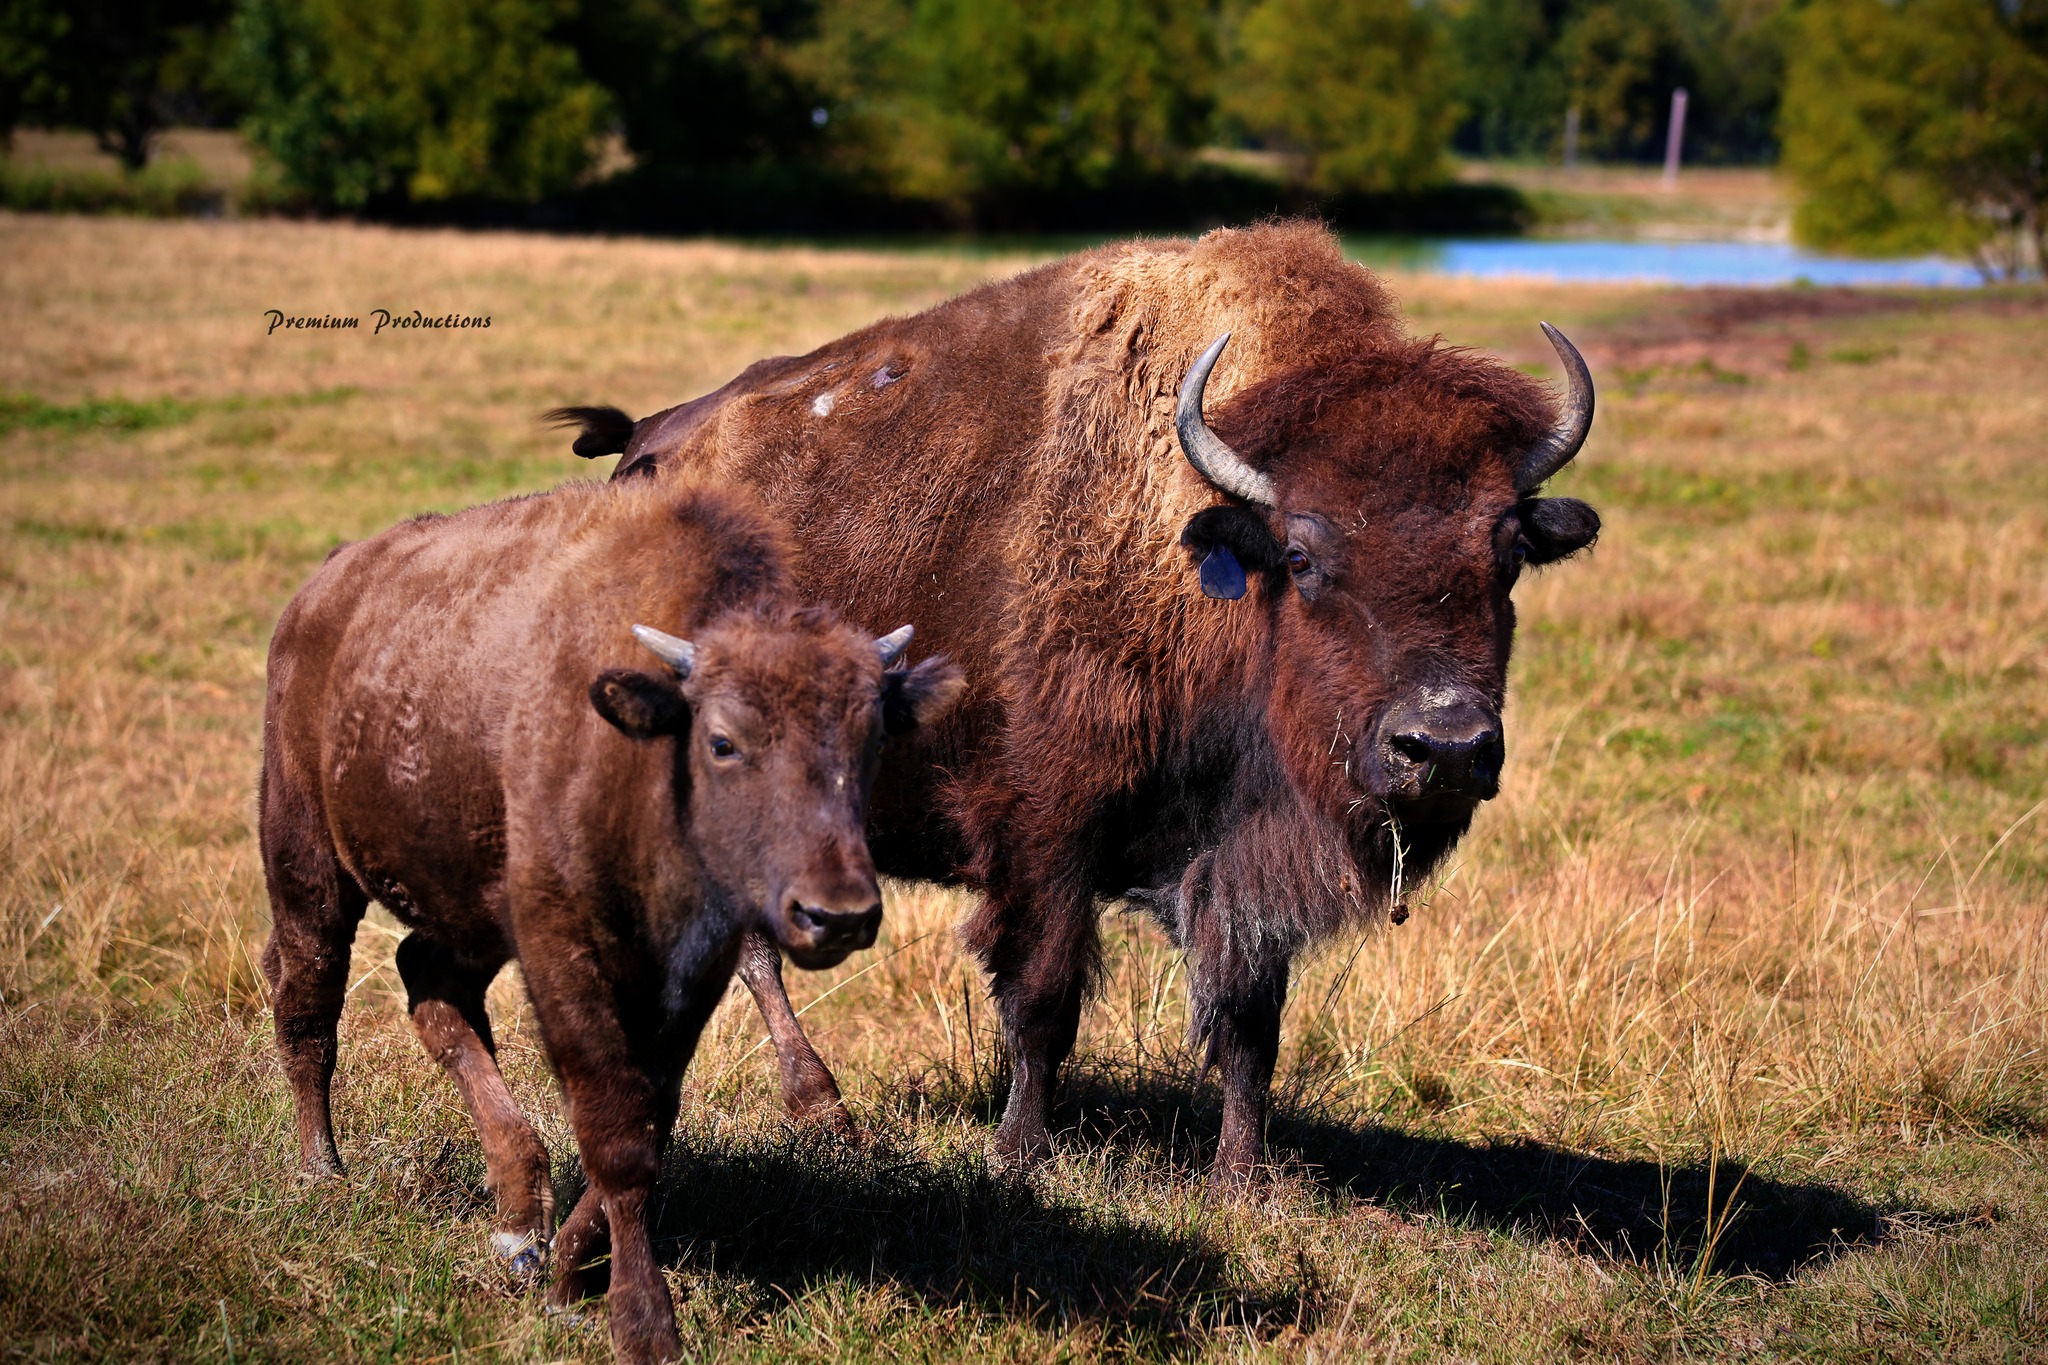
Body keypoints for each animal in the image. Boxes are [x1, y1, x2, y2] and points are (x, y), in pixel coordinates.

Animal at [259, 477, 961, 1363]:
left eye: (871, 740)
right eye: (723, 741)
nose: (836, 914)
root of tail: (320, 589)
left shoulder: (687, 975)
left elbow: (651, 1117)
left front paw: (562, 1268)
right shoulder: (564, 951)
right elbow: (617, 1128)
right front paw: (641, 1320)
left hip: (466, 910)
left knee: (431, 985)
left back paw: (518, 1213)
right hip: (307, 862)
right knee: (309, 1007)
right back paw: (325, 1172)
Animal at [555, 221, 1601, 1182]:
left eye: (1508, 550)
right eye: (1302, 554)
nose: (1447, 745)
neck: (1209, 553)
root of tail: (646, 450)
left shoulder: (1240, 857)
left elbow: (1250, 1023)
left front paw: (1242, 1179)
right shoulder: (1047, 829)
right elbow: (1044, 997)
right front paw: (1019, 1154)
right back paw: (826, 1112)